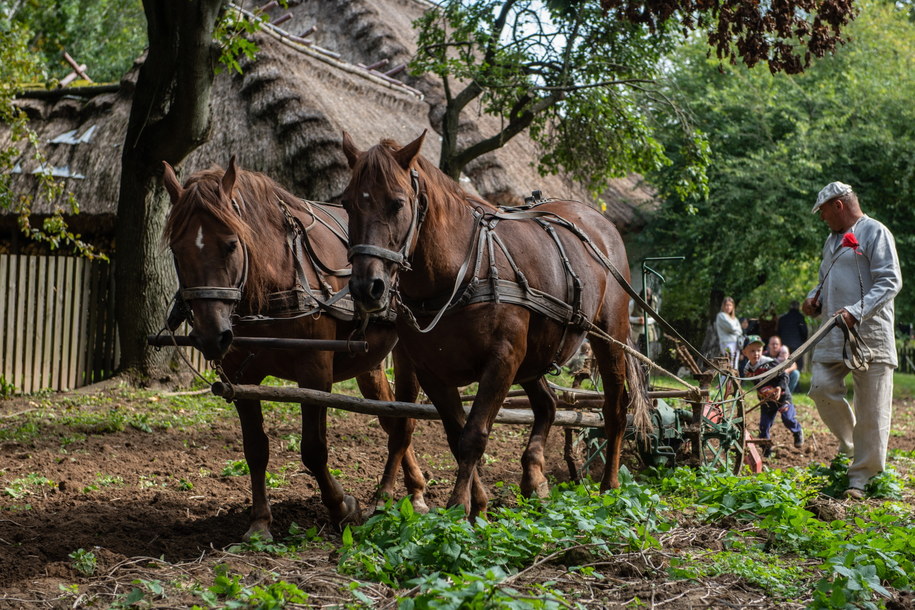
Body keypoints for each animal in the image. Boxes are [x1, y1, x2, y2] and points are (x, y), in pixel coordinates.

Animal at [161, 158, 426, 536]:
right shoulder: (241, 379)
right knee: (391, 418)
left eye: (231, 244)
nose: (211, 336)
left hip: (408, 356)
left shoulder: (315, 372)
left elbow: (313, 449)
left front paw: (342, 506)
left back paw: (394, 497)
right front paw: (260, 521)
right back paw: (414, 487)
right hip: (370, 363)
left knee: (404, 423)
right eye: (177, 250)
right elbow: (255, 448)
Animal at [342, 132, 652, 512]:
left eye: (397, 204)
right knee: (548, 405)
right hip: (535, 355)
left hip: (609, 336)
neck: (460, 272)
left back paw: (609, 486)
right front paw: (479, 504)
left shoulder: (502, 360)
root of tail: (598, 220)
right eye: (346, 204)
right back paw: (535, 478)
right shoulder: (430, 370)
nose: (366, 286)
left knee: (615, 408)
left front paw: (459, 507)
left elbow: (473, 435)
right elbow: (454, 434)